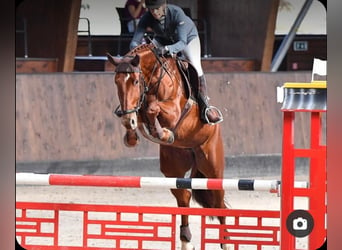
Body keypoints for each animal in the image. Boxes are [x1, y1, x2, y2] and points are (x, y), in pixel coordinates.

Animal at [107, 43, 230, 250]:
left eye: (135, 81)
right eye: (116, 82)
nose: (126, 118)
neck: (154, 78)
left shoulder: (173, 111)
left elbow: (152, 108)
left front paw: (163, 132)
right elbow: (142, 113)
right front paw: (132, 133)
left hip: (212, 168)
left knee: (219, 202)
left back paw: (225, 242)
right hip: (173, 168)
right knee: (184, 196)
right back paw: (185, 239)